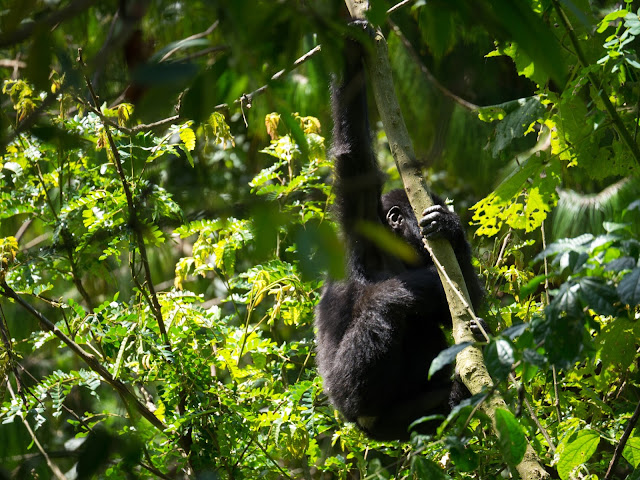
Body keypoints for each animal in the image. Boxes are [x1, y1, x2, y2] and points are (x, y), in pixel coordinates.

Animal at [316, 36, 484, 442]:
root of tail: (361, 425)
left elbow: (465, 300)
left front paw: (450, 228)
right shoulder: (360, 224)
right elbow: (352, 156)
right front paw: (350, 55)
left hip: (402, 420)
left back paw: (457, 393)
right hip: (350, 394)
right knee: (384, 306)